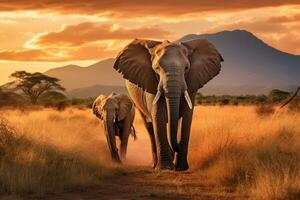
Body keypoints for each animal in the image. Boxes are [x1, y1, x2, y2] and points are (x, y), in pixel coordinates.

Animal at [112, 38, 223, 170]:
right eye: (156, 68)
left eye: (186, 68)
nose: (178, 146)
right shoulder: (151, 83)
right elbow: (159, 116)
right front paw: (165, 168)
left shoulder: (192, 81)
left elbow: (186, 117)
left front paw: (181, 168)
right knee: (149, 127)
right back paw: (155, 164)